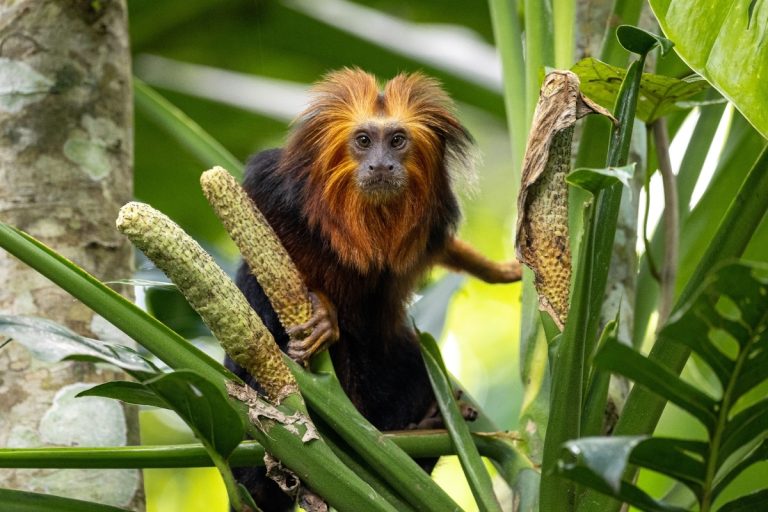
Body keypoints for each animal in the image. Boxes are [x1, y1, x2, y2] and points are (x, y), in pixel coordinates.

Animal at [226, 68, 521, 511]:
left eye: (397, 140)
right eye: (364, 140)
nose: (381, 164)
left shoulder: (431, 224)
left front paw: (500, 270)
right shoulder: (275, 189)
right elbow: (266, 257)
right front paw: (324, 311)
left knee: (411, 360)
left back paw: (425, 426)